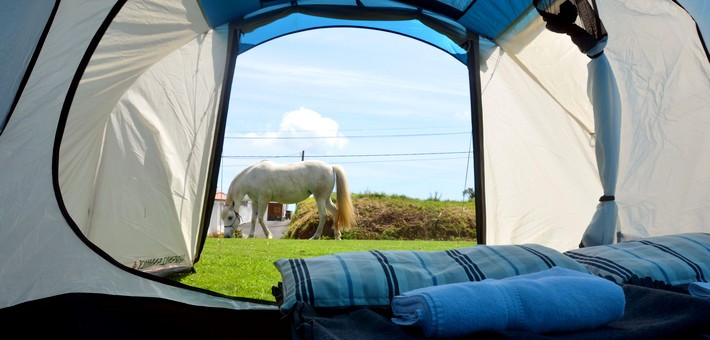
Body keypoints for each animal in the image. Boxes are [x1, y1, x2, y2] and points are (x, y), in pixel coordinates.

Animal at [221, 161, 356, 240]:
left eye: (230, 217)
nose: (226, 235)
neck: (252, 176)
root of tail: (331, 167)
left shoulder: (263, 199)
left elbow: (259, 218)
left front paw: (268, 235)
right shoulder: (255, 201)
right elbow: (254, 219)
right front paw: (250, 235)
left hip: (320, 198)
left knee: (323, 215)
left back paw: (315, 237)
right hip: (326, 199)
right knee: (335, 212)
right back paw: (337, 236)